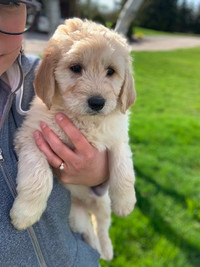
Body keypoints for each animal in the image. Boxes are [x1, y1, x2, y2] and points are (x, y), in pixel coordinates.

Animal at [10, 18, 137, 262]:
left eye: (111, 71)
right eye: (76, 68)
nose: (97, 102)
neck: (83, 121)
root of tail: (84, 204)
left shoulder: (118, 136)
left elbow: (123, 168)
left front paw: (126, 202)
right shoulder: (31, 136)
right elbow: (39, 178)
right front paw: (25, 213)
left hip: (102, 203)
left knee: (102, 226)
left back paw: (107, 250)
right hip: (76, 216)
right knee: (87, 230)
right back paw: (96, 248)